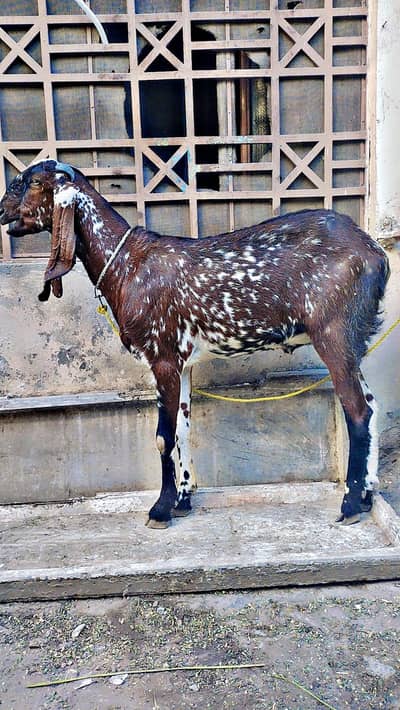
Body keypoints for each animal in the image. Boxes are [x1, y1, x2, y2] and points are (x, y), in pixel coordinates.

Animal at [0, 160, 390, 527]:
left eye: (34, 181)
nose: (2, 209)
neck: (126, 266)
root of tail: (377, 255)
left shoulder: (162, 356)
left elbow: (163, 435)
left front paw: (160, 509)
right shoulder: (183, 363)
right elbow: (183, 428)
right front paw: (183, 499)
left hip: (334, 335)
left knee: (357, 411)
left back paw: (350, 504)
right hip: (353, 342)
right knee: (372, 405)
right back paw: (368, 495)